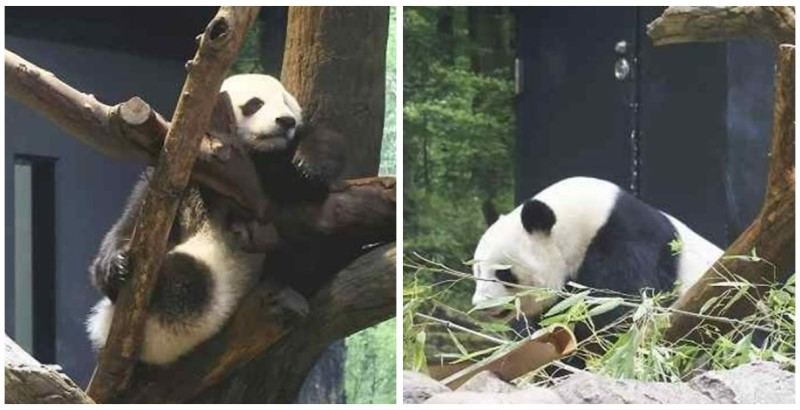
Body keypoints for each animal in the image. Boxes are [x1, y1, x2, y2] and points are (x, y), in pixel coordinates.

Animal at [87, 73, 344, 366]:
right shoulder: (177, 177)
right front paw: (115, 265)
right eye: (255, 103)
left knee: (188, 281)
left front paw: (310, 163)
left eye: (288, 103)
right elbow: (133, 219)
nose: (286, 121)